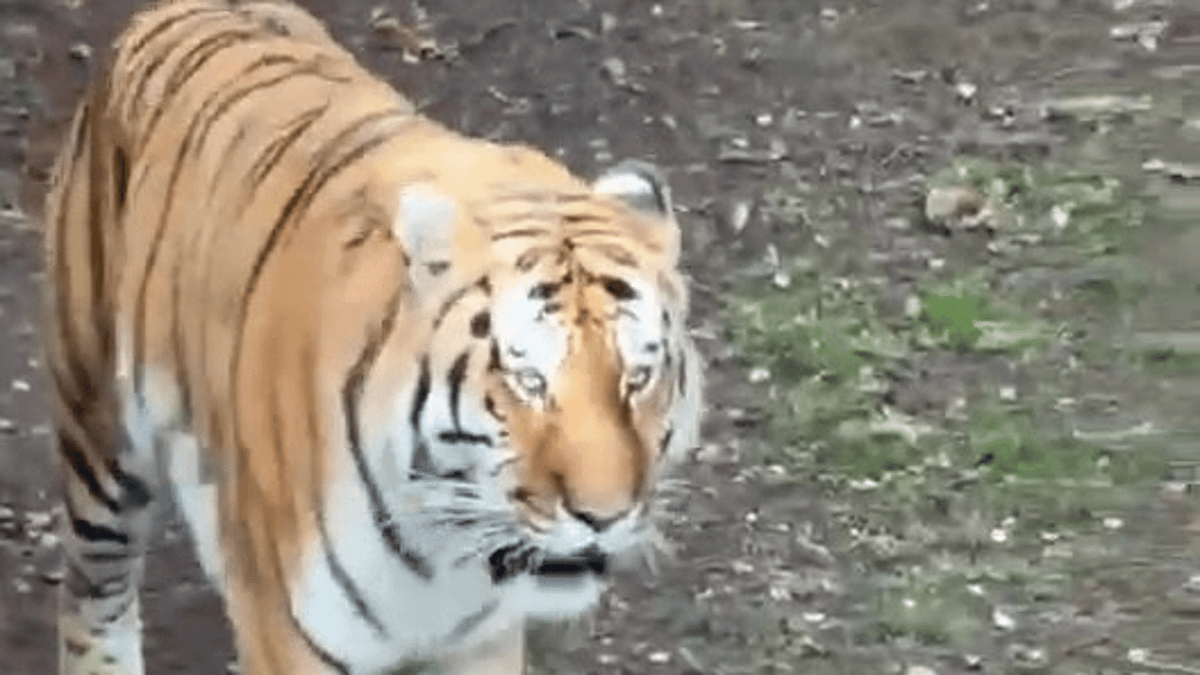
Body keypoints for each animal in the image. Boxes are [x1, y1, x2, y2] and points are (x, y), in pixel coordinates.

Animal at [40, 0, 704, 674]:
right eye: (527, 380)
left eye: (638, 377)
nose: (604, 517)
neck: (445, 553)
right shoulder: (288, 635)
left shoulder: (482, 640)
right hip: (99, 434)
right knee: (92, 594)